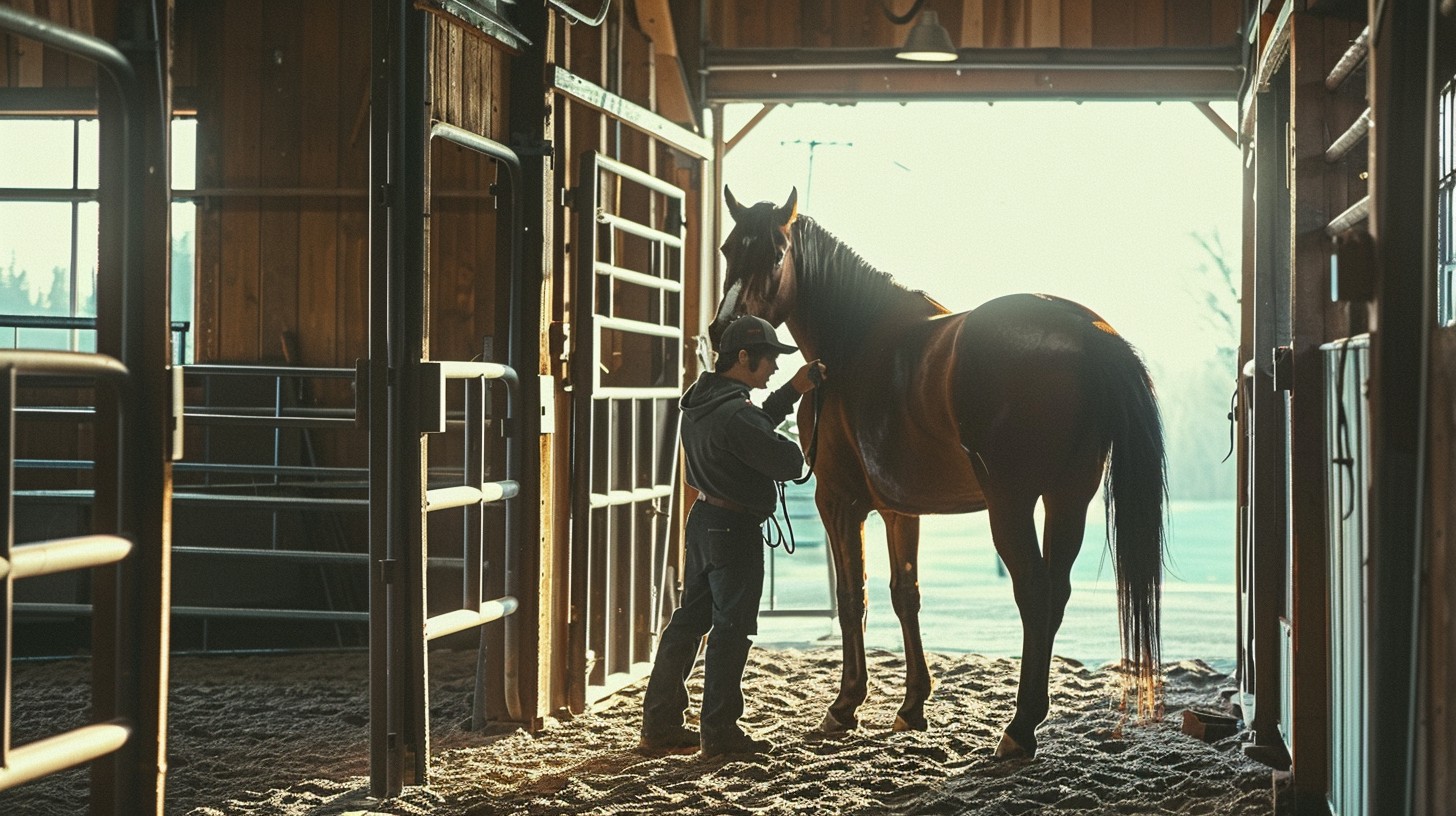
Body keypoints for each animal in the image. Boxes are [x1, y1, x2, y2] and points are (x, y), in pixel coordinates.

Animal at [710, 186, 1164, 757]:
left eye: (774, 254)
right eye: (728, 249)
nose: (722, 333)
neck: (854, 342)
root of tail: (1090, 332)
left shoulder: (838, 501)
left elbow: (852, 597)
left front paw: (845, 705)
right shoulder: (899, 509)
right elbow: (905, 594)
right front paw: (911, 706)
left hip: (1011, 504)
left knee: (1034, 592)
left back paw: (1018, 729)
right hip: (1068, 498)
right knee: (1055, 591)